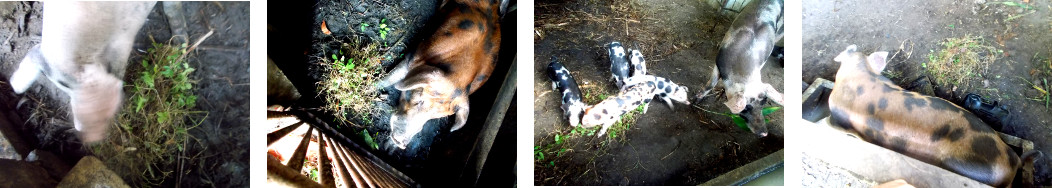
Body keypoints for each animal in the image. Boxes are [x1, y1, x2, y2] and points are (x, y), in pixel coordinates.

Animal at [378, 0, 500, 149]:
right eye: (420, 100)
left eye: (433, 118)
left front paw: (389, 148)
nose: (401, 143)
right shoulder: (411, 58)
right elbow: (388, 80)